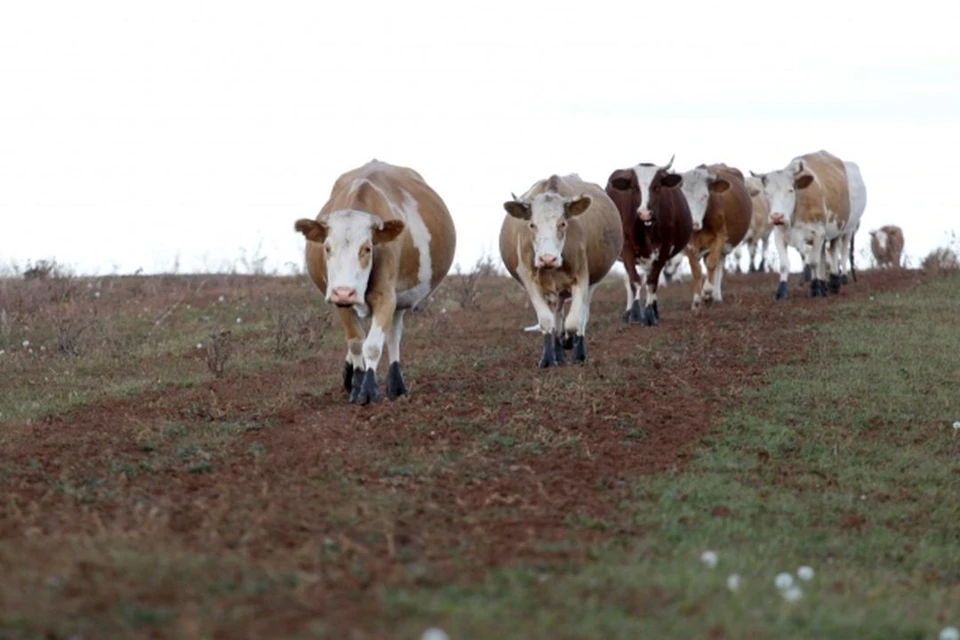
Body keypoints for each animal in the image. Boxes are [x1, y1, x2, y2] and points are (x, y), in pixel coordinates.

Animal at [294, 159, 456, 405]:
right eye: (327, 248)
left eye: (367, 248)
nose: (345, 292)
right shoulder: (339, 300)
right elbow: (355, 342)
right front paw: (356, 383)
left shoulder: (386, 296)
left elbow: (372, 346)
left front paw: (368, 389)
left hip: (400, 299)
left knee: (393, 337)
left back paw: (396, 384)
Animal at [500, 173, 623, 368]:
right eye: (532, 225)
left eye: (563, 223)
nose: (547, 259)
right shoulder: (530, 282)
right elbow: (547, 321)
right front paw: (548, 359)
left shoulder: (582, 278)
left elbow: (573, 322)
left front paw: (572, 345)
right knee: (557, 317)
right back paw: (557, 352)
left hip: (591, 285)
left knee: (581, 317)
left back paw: (575, 349)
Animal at [605, 155, 693, 326]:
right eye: (634, 187)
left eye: (657, 186)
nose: (645, 213)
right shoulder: (627, 248)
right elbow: (634, 280)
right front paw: (634, 314)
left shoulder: (664, 248)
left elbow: (652, 281)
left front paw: (650, 314)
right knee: (630, 280)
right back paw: (628, 311)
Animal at [676, 163, 753, 310]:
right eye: (683, 199)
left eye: (705, 196)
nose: (693, 223)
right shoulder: (688, 243)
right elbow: (696, 269)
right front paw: (696, 301)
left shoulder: (721, 236)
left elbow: (712, 263)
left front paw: (707, 291)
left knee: (717, 263)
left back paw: (715, 296)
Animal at [750, 150, 852, 300]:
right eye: (767, 193)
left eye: (790, 190)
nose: (776, 216)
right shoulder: (779, 235)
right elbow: (784, 265)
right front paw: (782, 291)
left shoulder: (818, 233)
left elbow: (814, 262)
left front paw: (816, 288)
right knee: (823, 256)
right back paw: (824, 284)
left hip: (837, 230)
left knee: (832, 252)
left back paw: (833, 283)